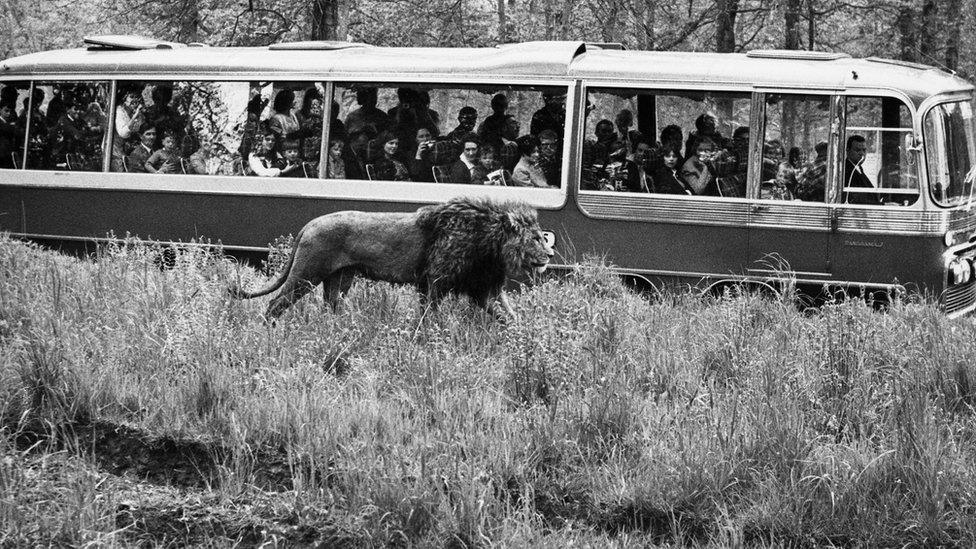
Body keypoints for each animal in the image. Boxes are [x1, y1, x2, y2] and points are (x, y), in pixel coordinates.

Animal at [224, 196, 552, 318]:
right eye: (536, 237)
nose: (550, 253)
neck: (490, 245)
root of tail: (310, 223)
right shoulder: (434, 282)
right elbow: (429, 316)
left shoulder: (486, 290)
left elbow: (512, 318)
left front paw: (523, 341)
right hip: (308, 273)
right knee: (274, 304)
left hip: (339, 278)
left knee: (331, 306)